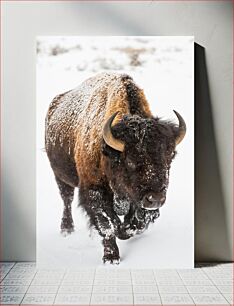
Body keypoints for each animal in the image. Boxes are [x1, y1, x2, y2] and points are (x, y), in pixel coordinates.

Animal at [44, 73, 186, 264]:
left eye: (170, 157)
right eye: (131, 160)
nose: (155, 199)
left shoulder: (138, 201)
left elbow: (136, 223)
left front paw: (125, 231)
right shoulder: (94, 190)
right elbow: (108, 225)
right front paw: (111, 258)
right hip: (60, 176)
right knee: (67, 199)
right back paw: (66, 229)